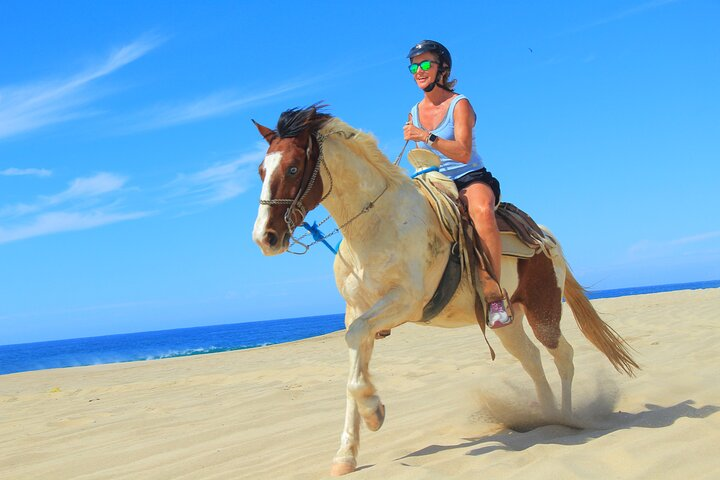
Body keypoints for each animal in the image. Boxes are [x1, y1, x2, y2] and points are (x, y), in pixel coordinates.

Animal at [250, 103, 640, 474]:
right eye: (261, 171)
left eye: (293, 169)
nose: (264, 238)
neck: (377, 223)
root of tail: (545, 235)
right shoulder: (356, 312)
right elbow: (351, 373)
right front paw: (346, 455)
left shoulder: (403, 303)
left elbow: (356, 358)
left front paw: (375, 412)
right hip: (508, 320)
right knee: (530, 358)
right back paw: (545, 417)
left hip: (543, 308)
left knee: (563, 356)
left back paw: (567, 419)